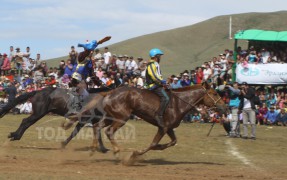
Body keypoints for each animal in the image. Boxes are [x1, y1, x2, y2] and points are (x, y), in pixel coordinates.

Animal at [81, 82, 230, 158]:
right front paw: (136, 153)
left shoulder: (169, 128)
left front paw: (161, 147)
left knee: (97, 127)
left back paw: (94, 149)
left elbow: (173, 142)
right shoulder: (163, 128)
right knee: (109, 131)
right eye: (214, 93)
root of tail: (109, 92)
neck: (179, 102)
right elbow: (153, 144)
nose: (225, 107)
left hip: (110, 117)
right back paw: (116, 150)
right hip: (121, 118)